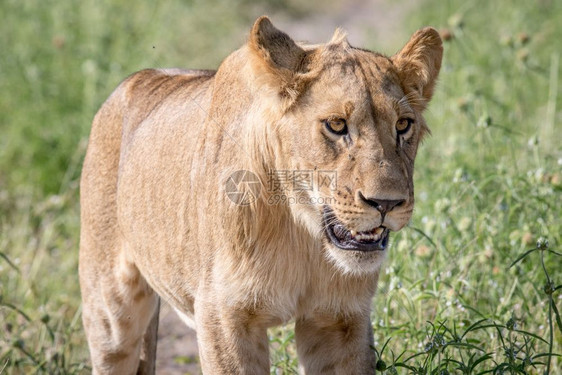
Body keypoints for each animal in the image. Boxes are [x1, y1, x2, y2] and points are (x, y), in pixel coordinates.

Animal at [77, 16, 442, 374]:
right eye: (337, 125)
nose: (386, 203)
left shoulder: (340, 319)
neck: (302, 234)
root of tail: (137, 78)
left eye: (403, 125)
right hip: (110, 311)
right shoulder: (223, 315)